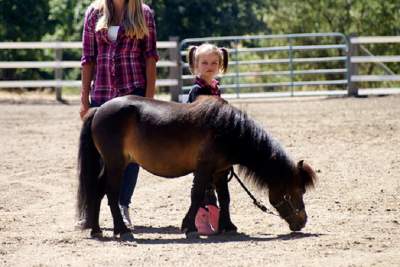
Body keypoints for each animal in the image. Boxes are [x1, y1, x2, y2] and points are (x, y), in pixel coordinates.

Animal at [76, 96, 318, 241]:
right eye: (296, 191)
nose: (302, 221)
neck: (227, 130)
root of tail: (100, 109)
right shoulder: (203, 169)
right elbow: (196, 195)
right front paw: (189, 226)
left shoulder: (221, 171)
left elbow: (224, 198)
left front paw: (227, 226)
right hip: (116, 164)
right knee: (111, 192)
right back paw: (122, 230)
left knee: (97, 191)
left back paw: (96, 230)